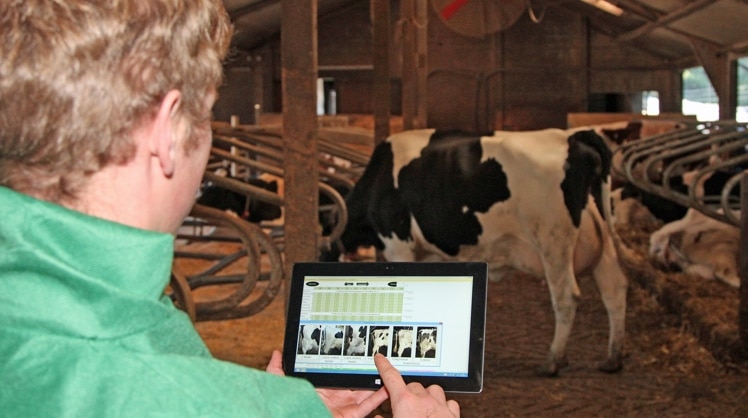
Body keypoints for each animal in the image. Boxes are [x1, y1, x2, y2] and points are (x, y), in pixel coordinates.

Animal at [335, 128, 628, 376]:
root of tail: (571, 137)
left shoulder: (399, 245)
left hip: (554, 241)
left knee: (567, 298)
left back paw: (553, 361)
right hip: (601, 242)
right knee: (614, 291)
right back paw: (612, 358)